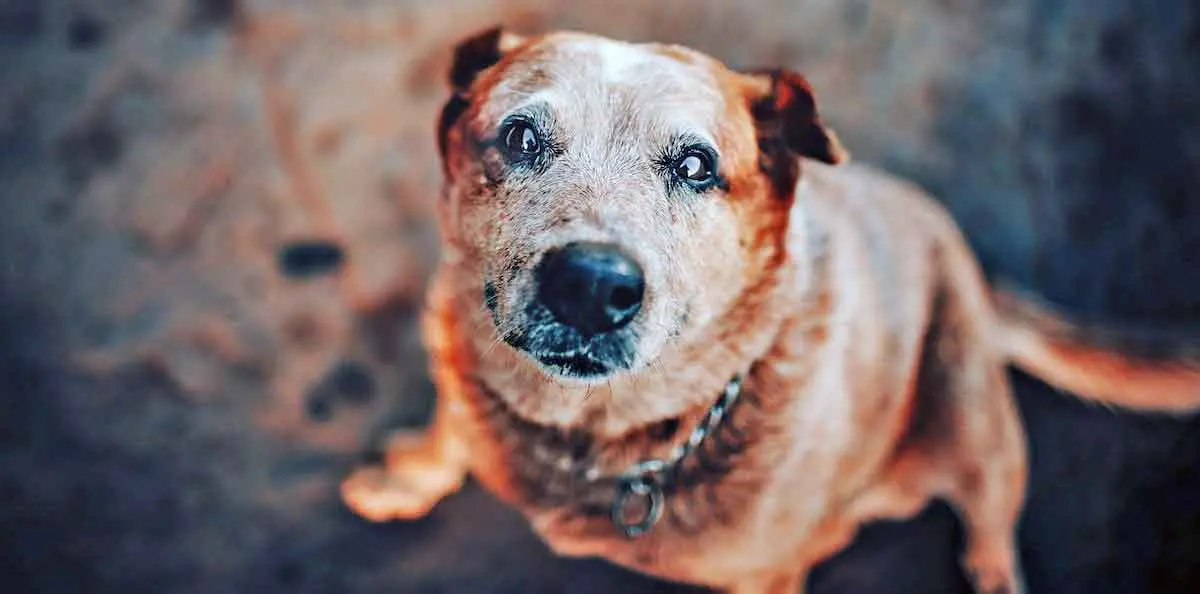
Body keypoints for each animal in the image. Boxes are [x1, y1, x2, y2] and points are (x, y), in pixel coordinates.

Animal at [340, 25, 1200, 592]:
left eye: (696, 165)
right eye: (520, 137)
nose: (588, 285)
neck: (602, 442)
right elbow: (448, 433)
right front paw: (406, 479)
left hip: (975, 425)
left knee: (991, 530)